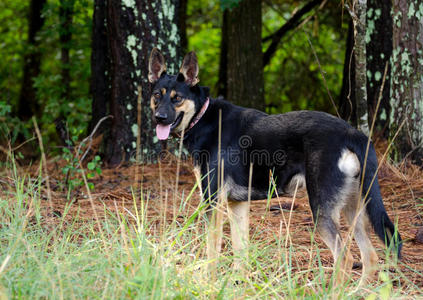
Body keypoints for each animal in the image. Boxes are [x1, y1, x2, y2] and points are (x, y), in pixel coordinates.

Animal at [149, 48, 404, 284]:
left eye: (177, 98)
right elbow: (240, 251)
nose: (159, 118)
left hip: (322, 209)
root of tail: (352, 134)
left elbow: (213, 251)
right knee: (370, 257)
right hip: (354, 208)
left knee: (346, 259)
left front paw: (208, 285)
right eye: (156, 95)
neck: (202, 118)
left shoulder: (213, 202)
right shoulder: (236, 205)